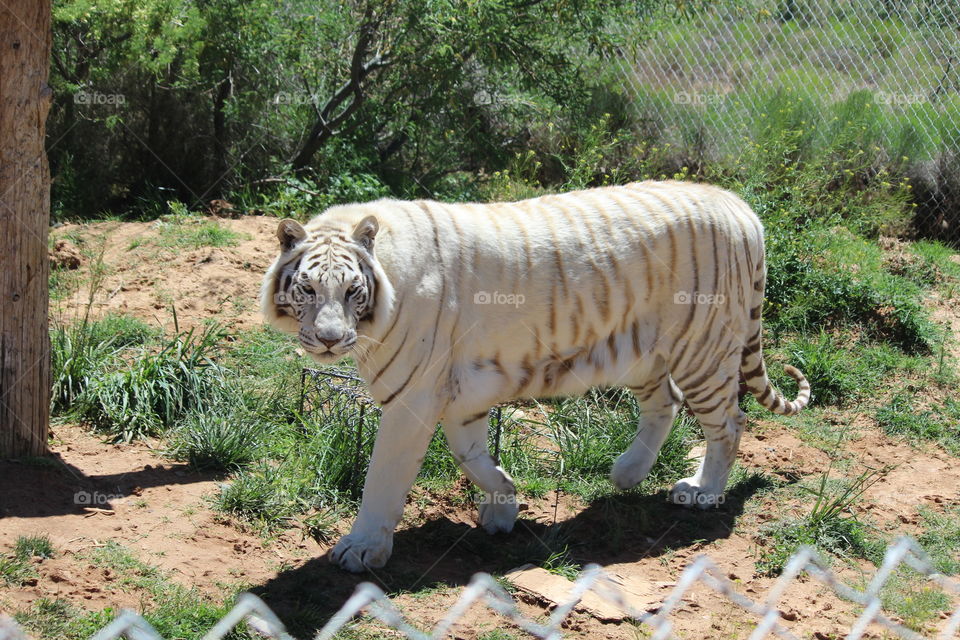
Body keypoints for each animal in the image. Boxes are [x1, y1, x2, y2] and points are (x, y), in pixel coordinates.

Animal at [260, 180, 811, 573]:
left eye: (352, 291)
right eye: (307, 289)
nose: (330, 339)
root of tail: (738, 205)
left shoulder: (413, 397)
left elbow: (383, 477)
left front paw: (361, 549)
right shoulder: (457, 393)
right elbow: (470, 456)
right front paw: (503, 507)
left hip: (703, 350)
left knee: (730, 423)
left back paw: (702, 491)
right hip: (641, 352)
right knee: (665, 403)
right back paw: (626, 473)